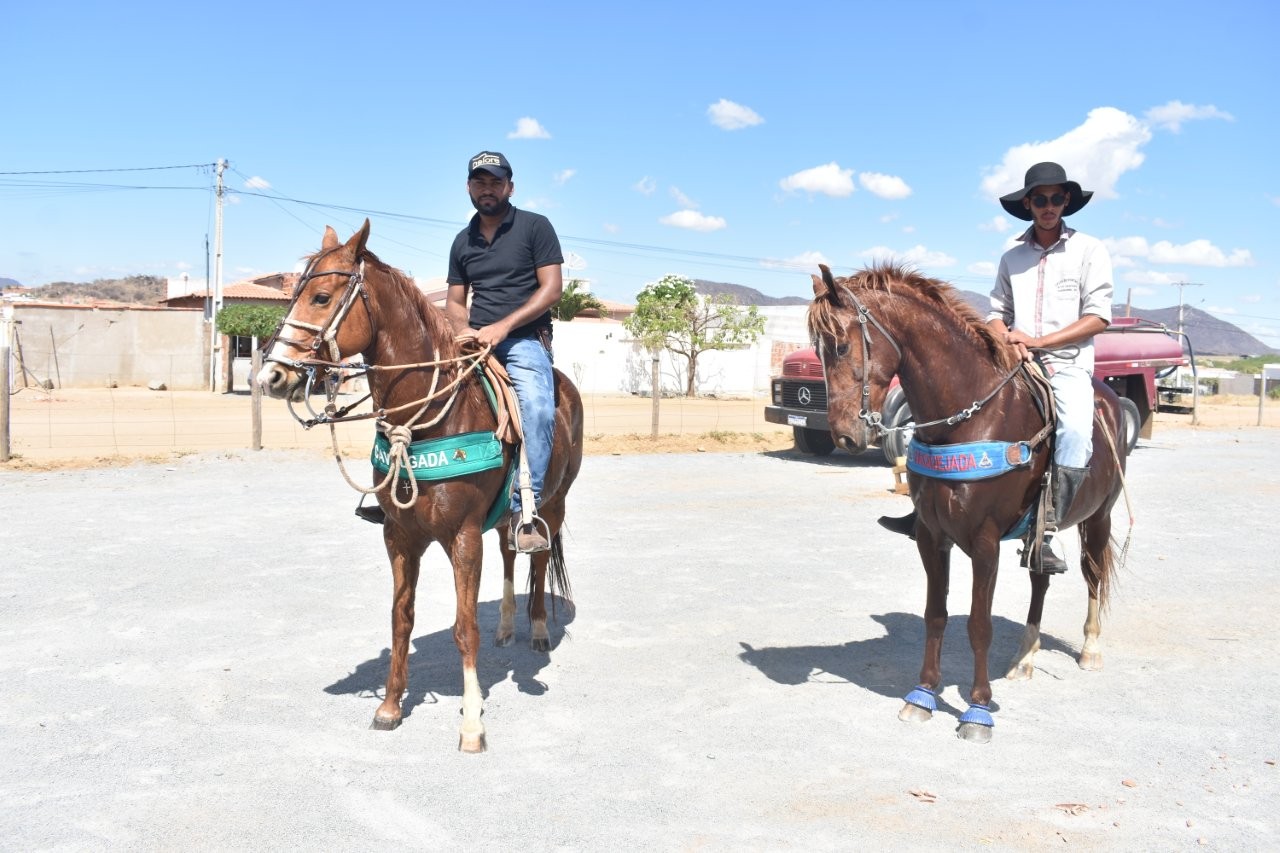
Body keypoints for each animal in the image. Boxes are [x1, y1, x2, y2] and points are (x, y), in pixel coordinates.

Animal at [256, 220, 583, 752]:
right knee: (511, 552)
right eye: (292, 296)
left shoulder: (464, 536)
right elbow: (401, 619)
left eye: (322, 297)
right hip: (504, 517)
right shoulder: (400, 536)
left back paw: (535, 629)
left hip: (553, 503)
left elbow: (464, 628)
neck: (428, 420)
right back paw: (508, 625)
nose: (272, 375)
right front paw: (390, 706)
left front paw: (472, 724)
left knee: (537, 558)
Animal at [807, 262, 1126, 743]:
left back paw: (1090, 648)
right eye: (819, 350)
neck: (966, 422)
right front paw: (922, 695)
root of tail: (1111, 402)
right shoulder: (931, 536)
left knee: (1093, 574)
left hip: (1099, 518)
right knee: (1040, 579)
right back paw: (1025, 657)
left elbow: (979, 624)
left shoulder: (984, 541)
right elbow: (935, 614)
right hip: (1039, 534)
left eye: (841, 345)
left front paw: (977, 709)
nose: (844, 435)